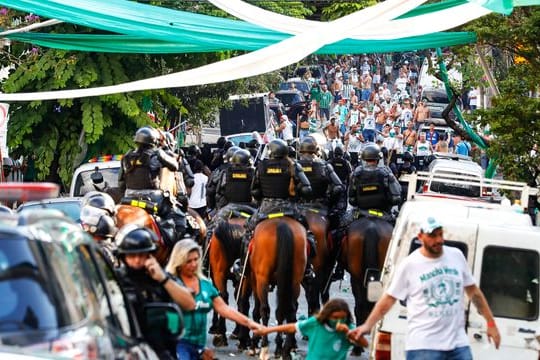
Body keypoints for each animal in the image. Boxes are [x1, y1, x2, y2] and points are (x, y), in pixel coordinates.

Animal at [247, 217, 306, 360]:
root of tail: (282, 225)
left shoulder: (254, 279)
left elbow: (257, 311)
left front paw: (254, 344)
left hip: (262, 279)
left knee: (265, 310)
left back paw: (264, 348)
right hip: (295, 281)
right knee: (288, 312)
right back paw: (284, 350)